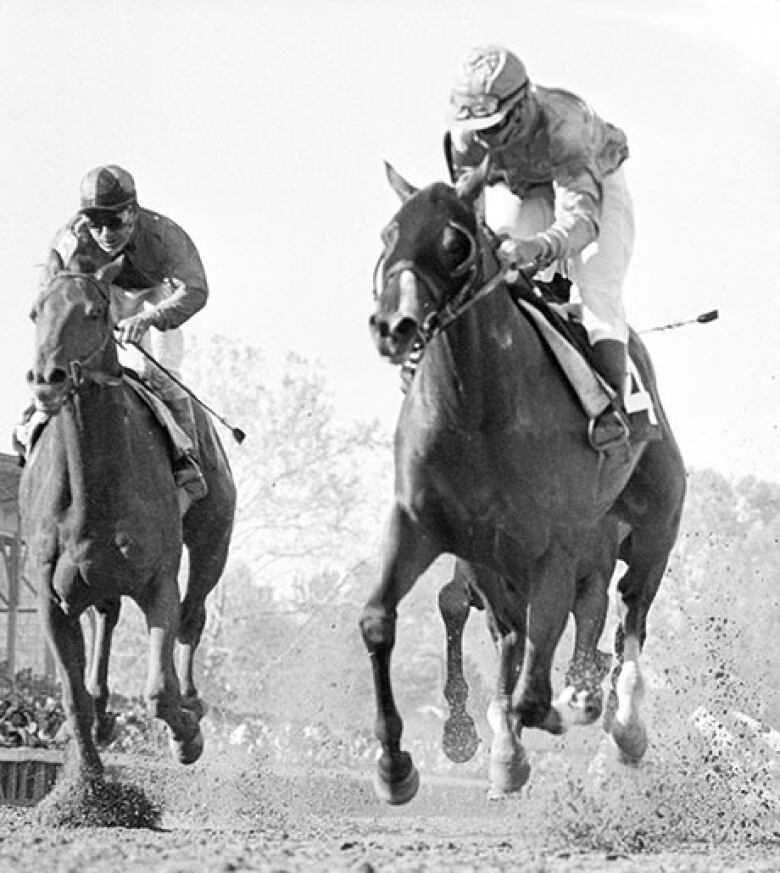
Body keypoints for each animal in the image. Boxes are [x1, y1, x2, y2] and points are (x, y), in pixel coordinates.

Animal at [19, 270, 235, 784]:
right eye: (36, 310)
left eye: (95, 312)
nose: (47, 379)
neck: (91, 487)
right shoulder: (50, 597)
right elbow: (72, 698)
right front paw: (92, 786)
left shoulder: (159, 581)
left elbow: (159, 690)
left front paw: (187, 737)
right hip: (94, 582)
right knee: (108, 615)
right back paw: (103, 712)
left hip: (213, 542)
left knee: (193, 616)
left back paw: (192, 704)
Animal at [362, 162, 684, 804]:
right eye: (388, 234)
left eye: (455, 244)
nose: (393, 326)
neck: (477, 410)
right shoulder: (426, 528)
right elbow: (380, 620)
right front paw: (394, 765)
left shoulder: (553, 548)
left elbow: (539, 679)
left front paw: (570, 706)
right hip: (501, 561)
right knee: (522, 635)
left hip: (654, 528)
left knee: (631, 613)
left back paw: (623, 726)